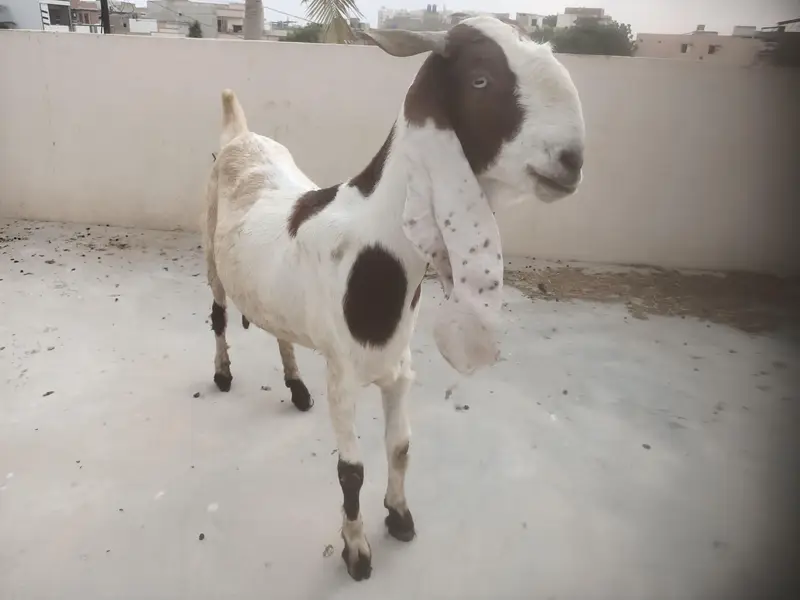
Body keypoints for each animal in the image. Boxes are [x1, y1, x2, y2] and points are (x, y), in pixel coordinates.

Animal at [202, 16, 585, 581]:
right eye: (481, 80)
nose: (571, 161)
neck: (377, 249)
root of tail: (240, 133)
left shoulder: (398, 369)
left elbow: (401, 446)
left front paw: (400, 517)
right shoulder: (342, 377)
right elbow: (351, 471)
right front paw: (356, 551)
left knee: (276, 328)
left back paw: (295, 387)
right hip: (209, 249)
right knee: (218, 315)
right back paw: (223, 373)